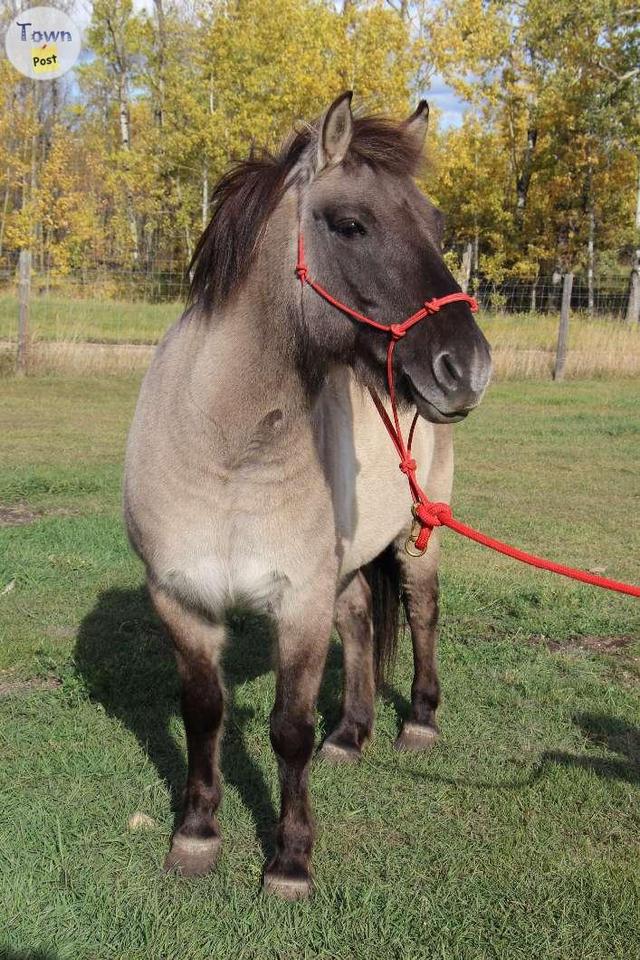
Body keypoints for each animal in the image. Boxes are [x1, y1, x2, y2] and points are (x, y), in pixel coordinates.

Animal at [126, 92, 496, 900]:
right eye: (350, 224)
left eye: (438, 226)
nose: (467, 367)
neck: (230, 451)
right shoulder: (182, 599)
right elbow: (203, 713)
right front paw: (196, 833)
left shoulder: (297, 603)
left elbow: (287, 731)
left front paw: (289, 860)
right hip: (348, 561)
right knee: (358, 621)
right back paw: (351, 734)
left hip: (416, 536)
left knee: (420, 613)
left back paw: (417, 723)